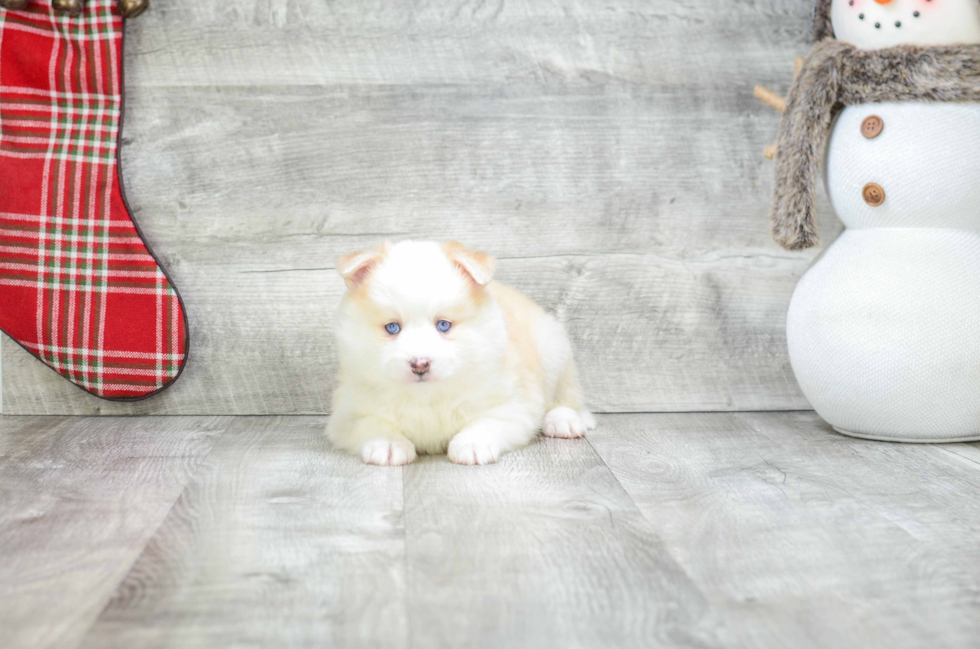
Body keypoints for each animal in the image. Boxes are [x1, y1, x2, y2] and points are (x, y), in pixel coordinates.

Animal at [328, 240, 596, 464]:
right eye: (392, 328)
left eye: (443, 325)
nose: (420, 364)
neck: (426, 397)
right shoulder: (347, 414)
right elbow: (372, 423)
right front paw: (388, 444)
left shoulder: (513, 406)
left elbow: (489, 421)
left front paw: (472, 443)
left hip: (553, 350)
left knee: (567, 397)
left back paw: (563, 421)